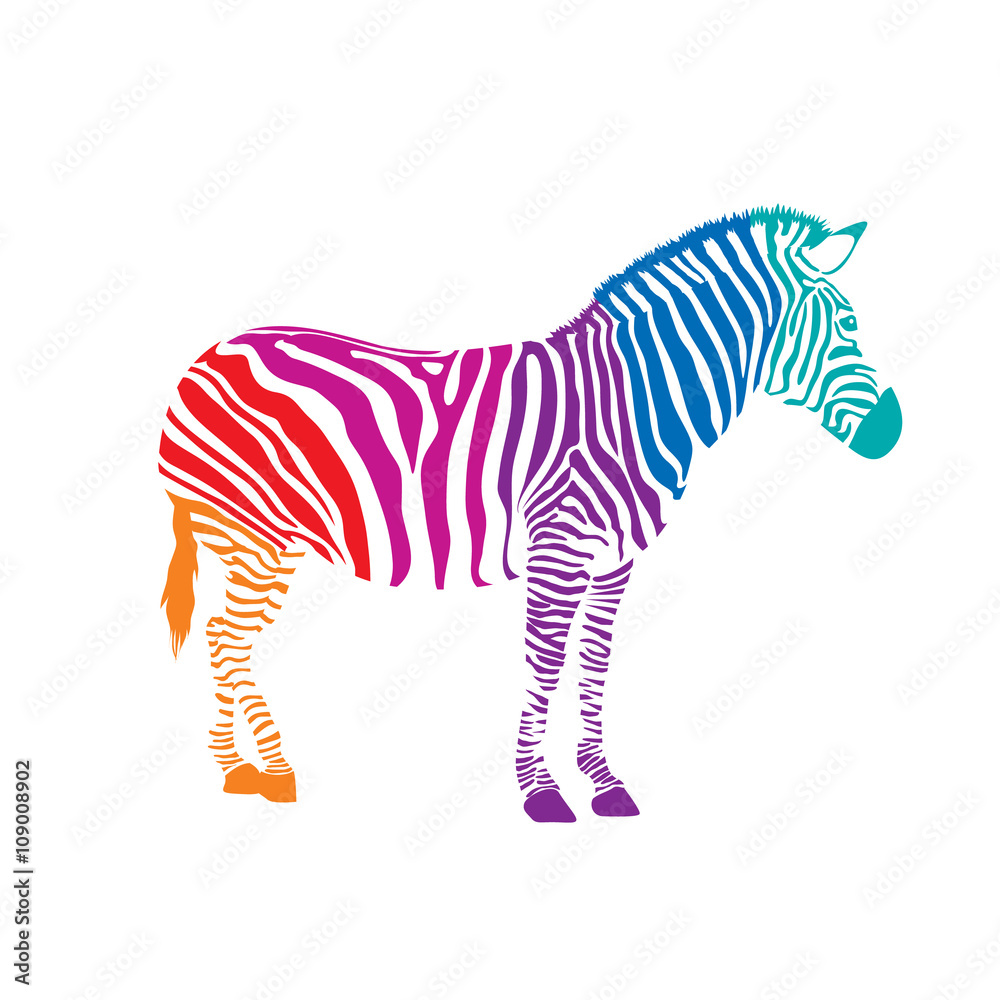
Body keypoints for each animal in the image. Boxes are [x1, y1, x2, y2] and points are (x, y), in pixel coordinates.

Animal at [159, 206, 902, 821]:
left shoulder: (614, 560)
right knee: (226, 638)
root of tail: (204, 358)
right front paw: (540, 791)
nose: (892, 432)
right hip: (252, 534)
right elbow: (545, 662)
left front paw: (602, 783)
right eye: (847, 326)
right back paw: (263, 771)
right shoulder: (558, 548)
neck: (630, 403)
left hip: (258, 541)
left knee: (225, 639)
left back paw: (242, 771)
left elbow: (594, 662)